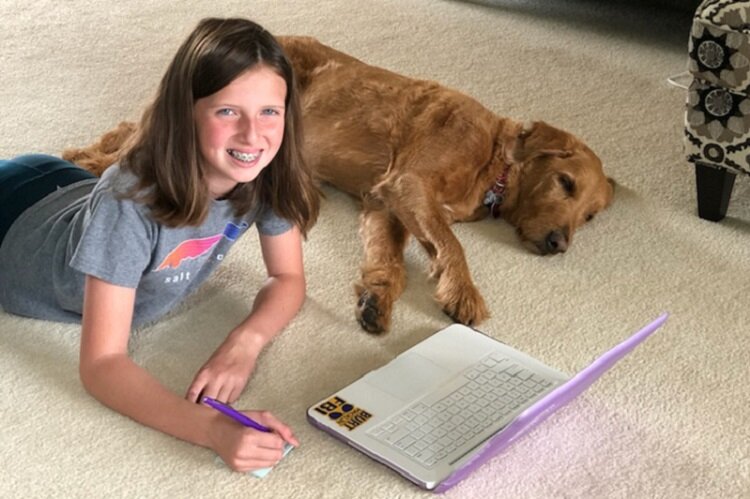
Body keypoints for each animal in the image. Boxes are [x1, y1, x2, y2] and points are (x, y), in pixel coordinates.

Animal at [63, 36, 616, 336]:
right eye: (564, 182)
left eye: (589, 215)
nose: (559, 243)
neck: (493, 161)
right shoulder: (409, 184)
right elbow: (452, 244)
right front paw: (462, 291)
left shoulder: (383, 201)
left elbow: (391, 257)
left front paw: (377, 296)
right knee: (130, 138)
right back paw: (85, 158)